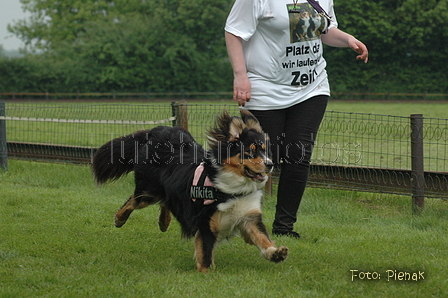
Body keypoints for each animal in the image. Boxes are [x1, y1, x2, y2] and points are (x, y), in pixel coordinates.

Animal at [92, 110, 288, 272]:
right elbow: (206, 254)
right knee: (134, 200)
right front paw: (207, 274)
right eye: (249, 151)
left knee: (165, 201)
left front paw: (275, 253)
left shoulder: (248, 216)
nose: (270, 165)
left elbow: (262, 238)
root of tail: (158, 129)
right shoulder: (206, 222)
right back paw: (119, 219)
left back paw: (163, 222)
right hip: (149, 191)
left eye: (266, 151)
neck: (231, 189)